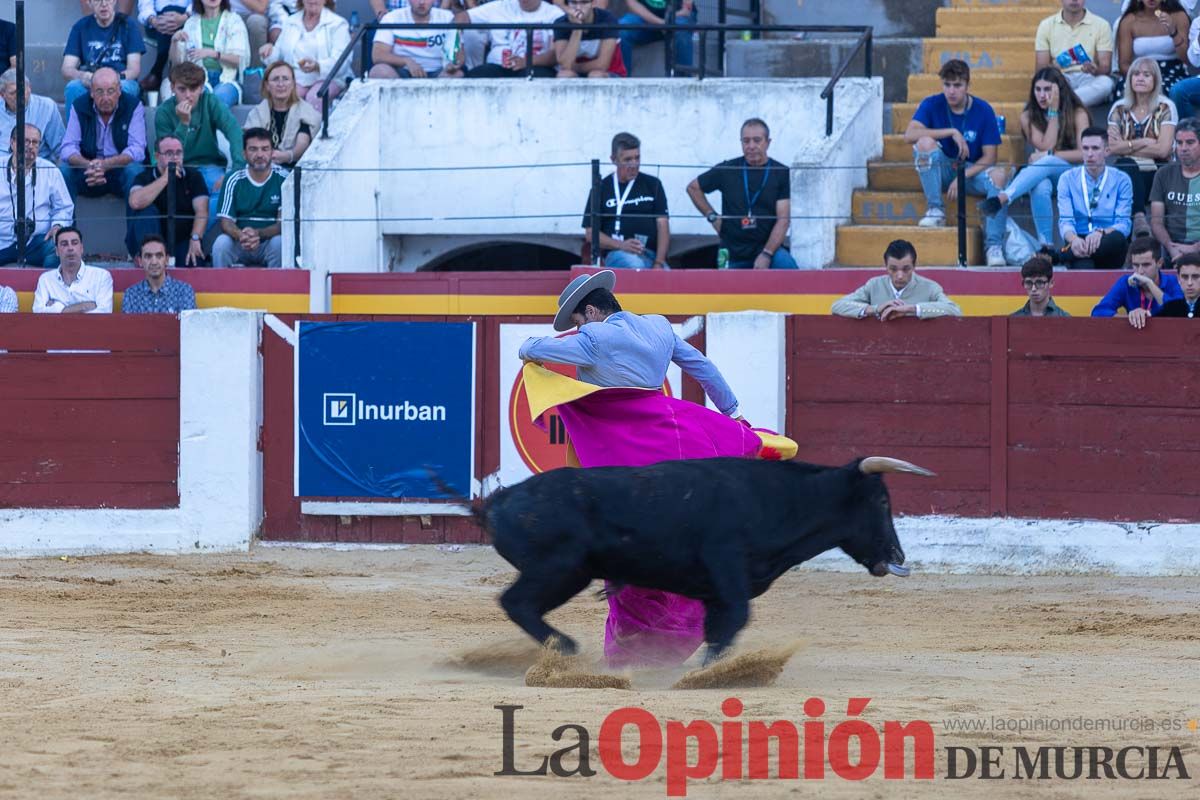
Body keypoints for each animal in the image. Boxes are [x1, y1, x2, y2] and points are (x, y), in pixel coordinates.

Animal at [470, 453, 936, 666]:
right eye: (881, 501)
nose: (897, 556)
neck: (779, 499)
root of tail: (499, 500)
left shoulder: (715, 592)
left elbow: (717, 630)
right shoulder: (728, 572)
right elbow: (735, 623)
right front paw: (707, 675)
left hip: (565, 572)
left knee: (521, 606)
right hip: (560, 569)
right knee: (516, 603)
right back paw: (566, 649)